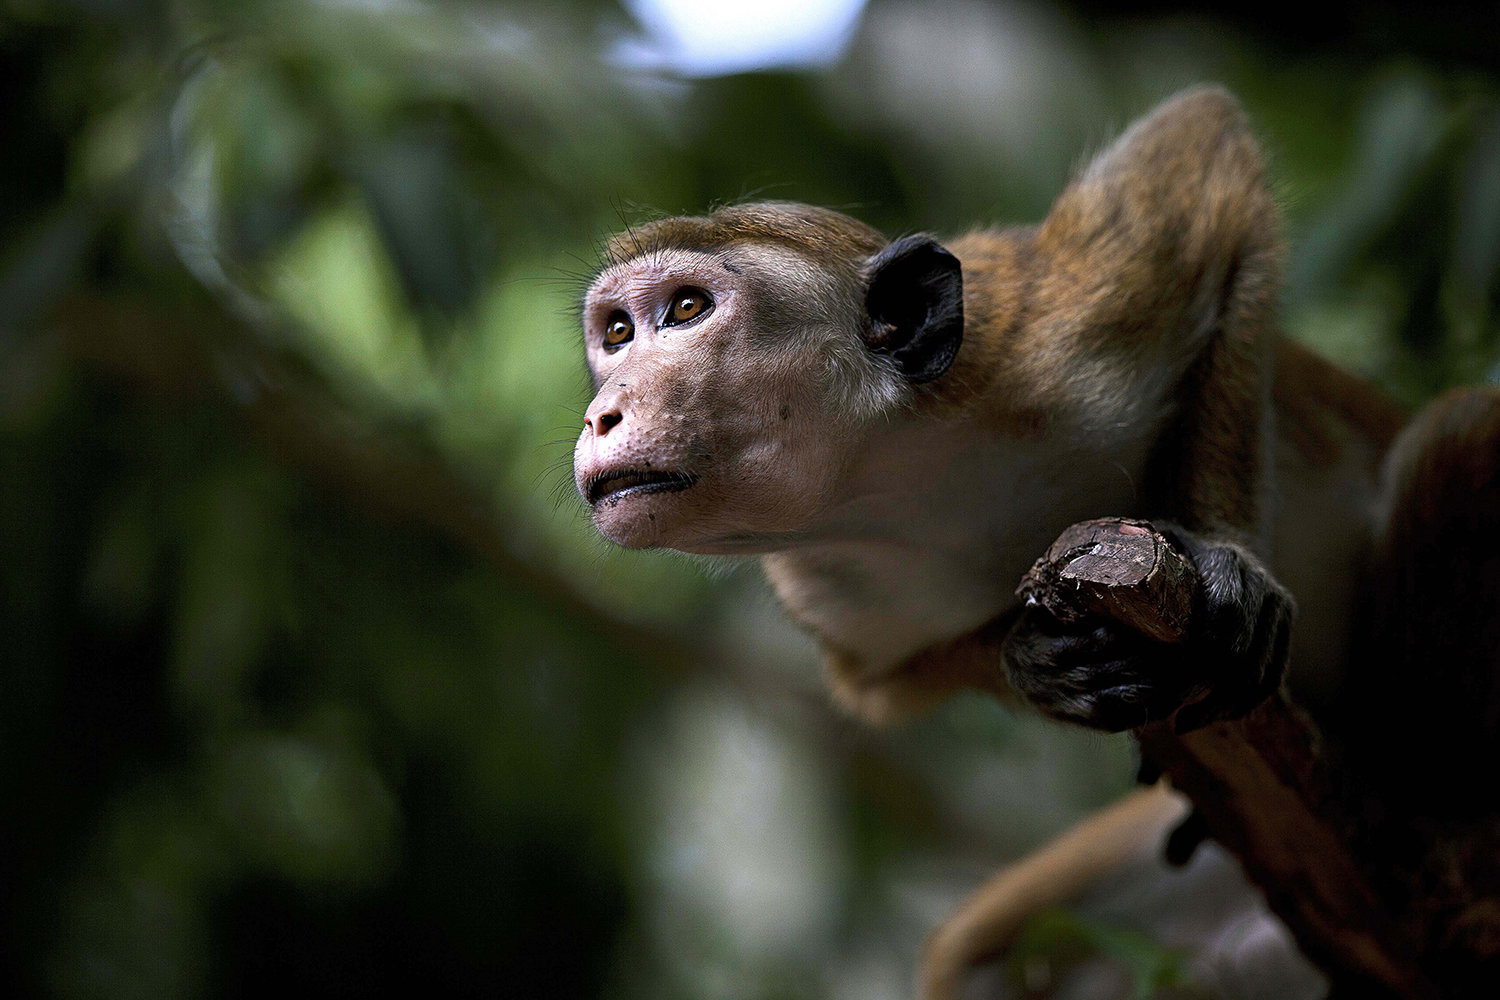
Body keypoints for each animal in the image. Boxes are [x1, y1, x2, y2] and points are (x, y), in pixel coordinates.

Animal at [567, 88, 1494, 1000]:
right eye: (616, 334)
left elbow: (1201, 150)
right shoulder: (832, 589)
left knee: (1459, 433)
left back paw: (1439, 826)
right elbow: (883, 687)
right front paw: (1035, 661)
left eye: (686, 309)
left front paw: (1233, 561)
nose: (599, 414)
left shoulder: (1064, 333)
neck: (901, 471)